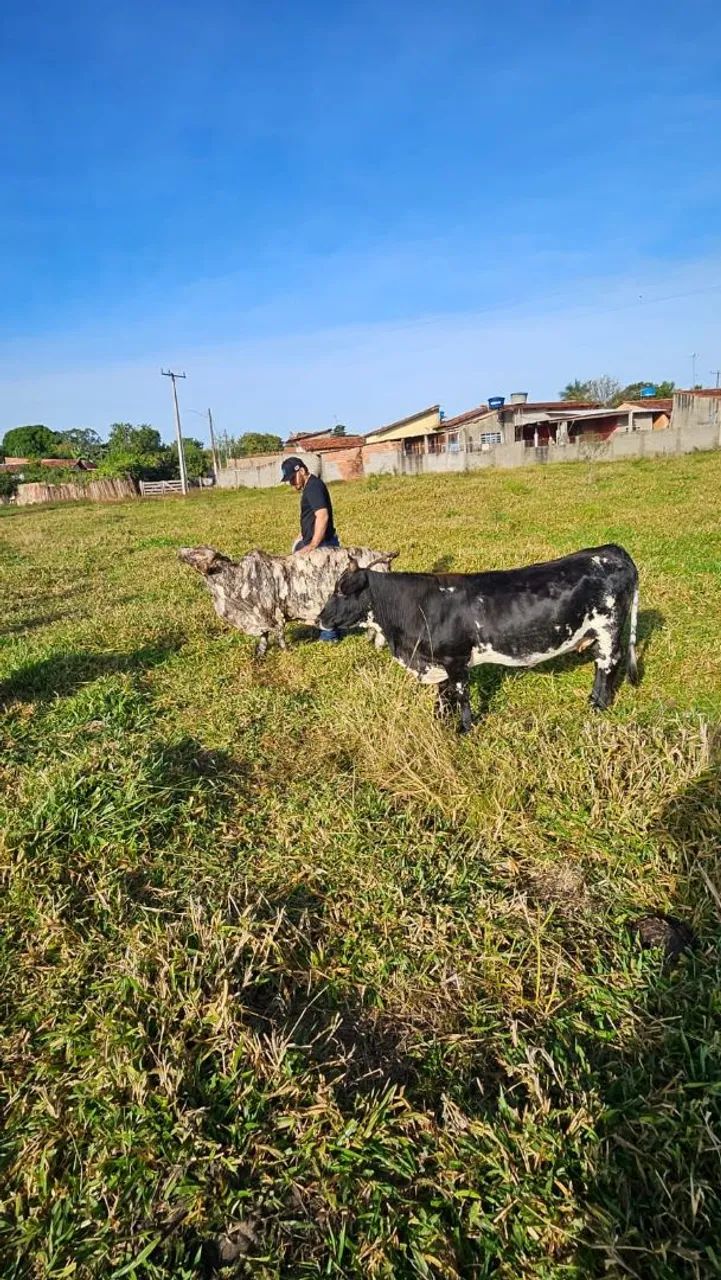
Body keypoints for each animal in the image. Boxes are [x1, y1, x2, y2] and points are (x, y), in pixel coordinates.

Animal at [179, 544, 397, 657]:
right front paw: (259, 655)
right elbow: (264, 638)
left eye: (198, 551)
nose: (180, 550)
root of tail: (382, 556)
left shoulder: (274, 616)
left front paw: (285, 652)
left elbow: (280, 637)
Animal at [318, 544, 640, 731]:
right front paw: (439, 721)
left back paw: (598, 705)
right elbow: (443, 694)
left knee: (608, 664)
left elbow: (461, 695)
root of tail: (613, 550)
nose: (320, 618)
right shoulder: (439, 662)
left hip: (608, 627)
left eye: (341, 591)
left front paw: (464, 728)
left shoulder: (456, 660)